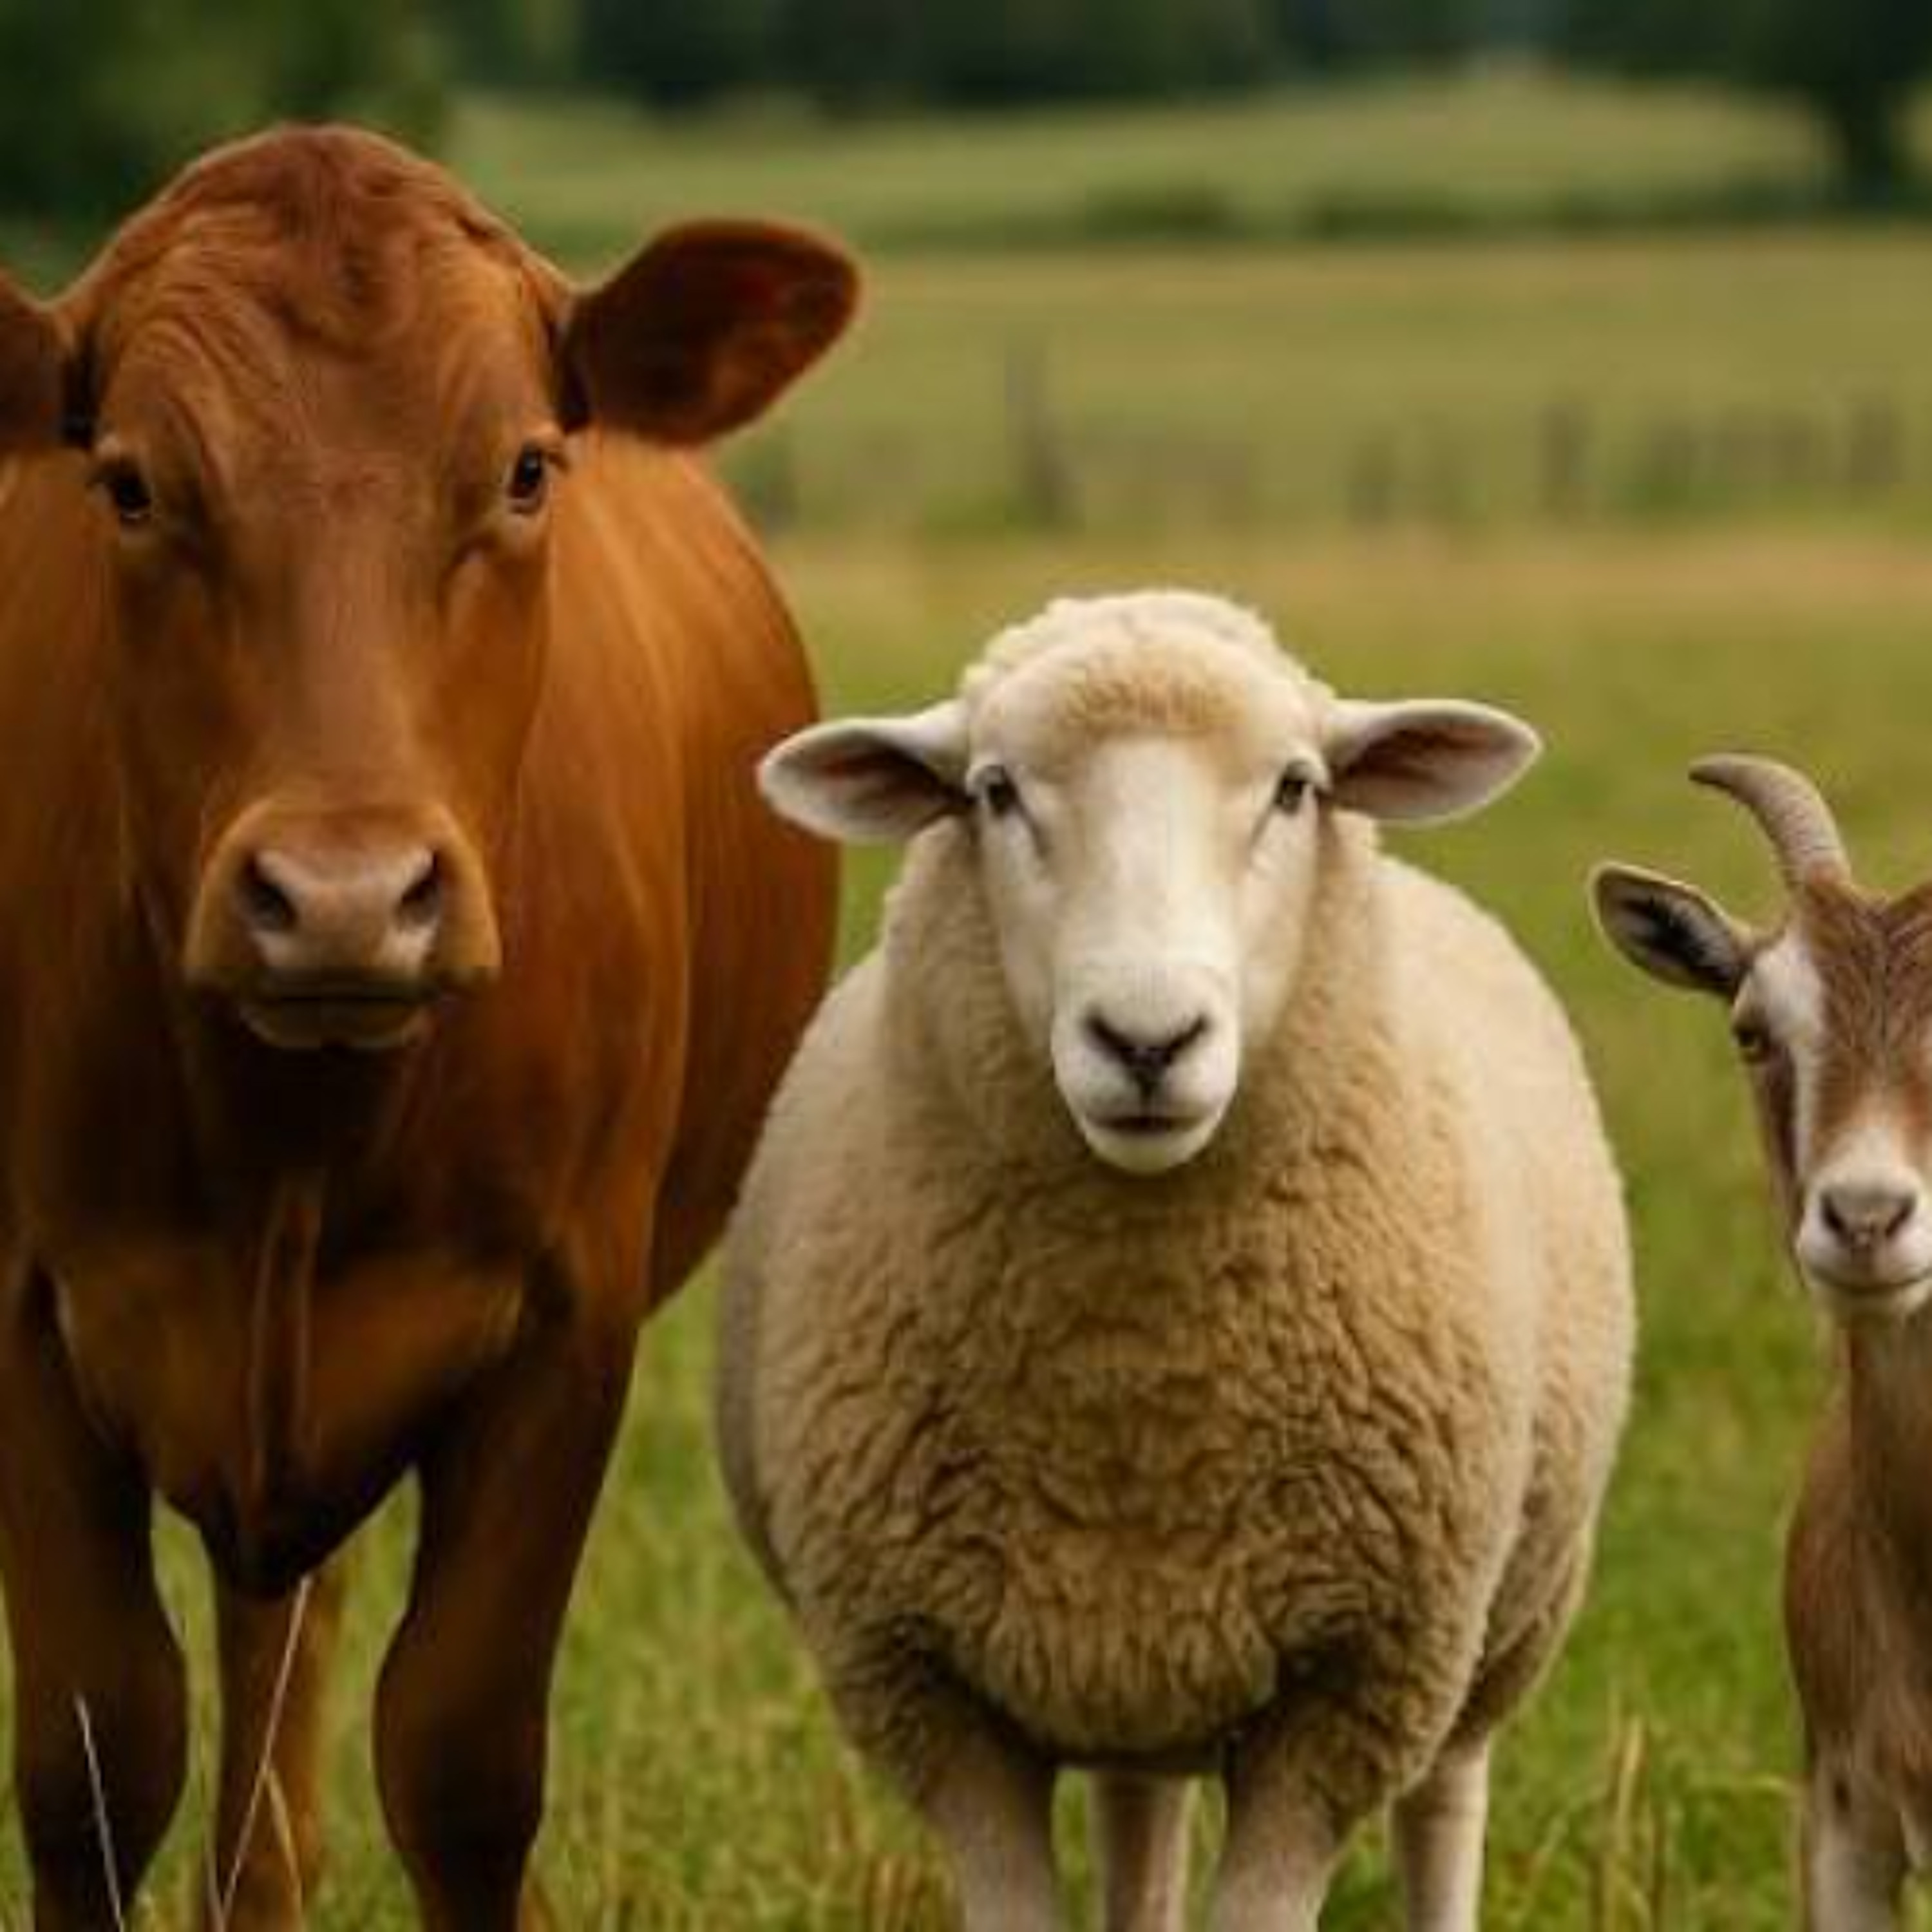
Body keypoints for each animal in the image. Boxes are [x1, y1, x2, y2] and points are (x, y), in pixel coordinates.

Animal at [720, 590, 1634, 1931]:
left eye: (1298, 789)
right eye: (994, 792)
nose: (1147, 1040)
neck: (1140, 1400)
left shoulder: (1358, 1682)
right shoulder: (927, 1686)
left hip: (1500, 1625)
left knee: (1445, 1805)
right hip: (1133, 1669)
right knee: (1141, 1819)